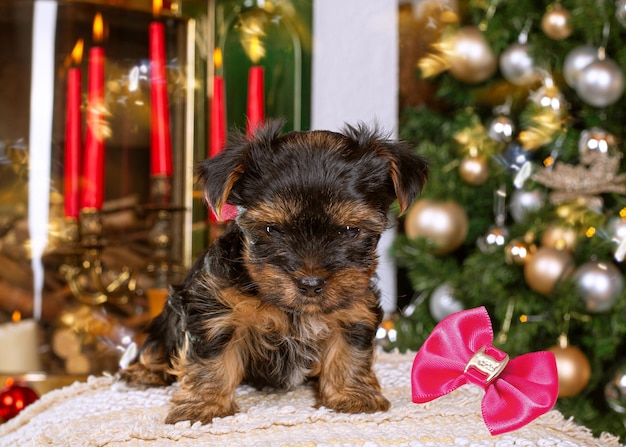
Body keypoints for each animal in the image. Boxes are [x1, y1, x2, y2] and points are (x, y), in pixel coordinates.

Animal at [119, 120, 426, 428]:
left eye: (350, 230)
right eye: (272, 229)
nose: (311, 283)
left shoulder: (354, 307)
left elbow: (349, 351)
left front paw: (352, 395)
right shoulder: (214, 307)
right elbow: (211, 358)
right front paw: (203, 405)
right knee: (157, 343)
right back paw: (145, 371)